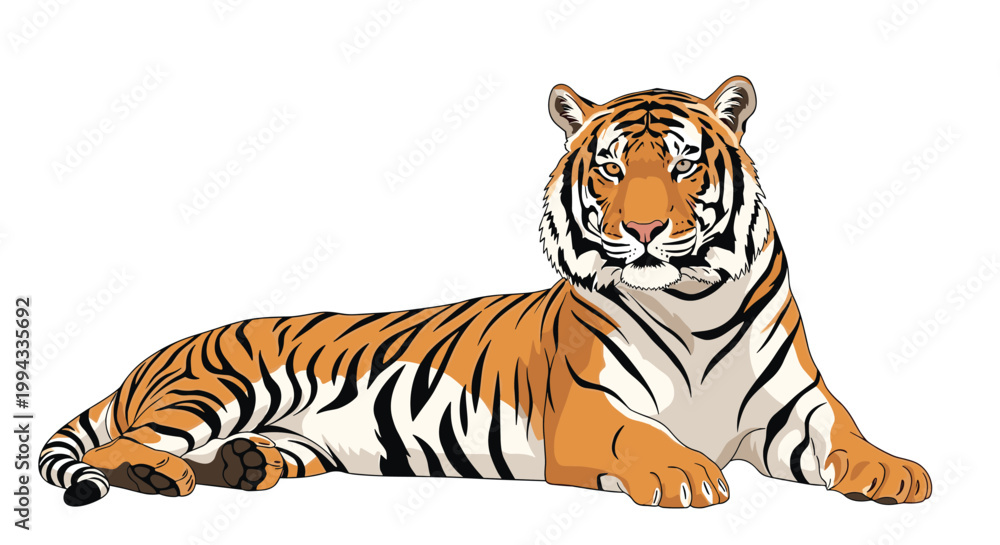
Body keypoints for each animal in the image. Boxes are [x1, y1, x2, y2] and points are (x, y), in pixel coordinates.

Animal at [41, 76, 931, 509]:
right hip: (213, 390)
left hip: (290, 438)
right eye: (611, 167)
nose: (644, 229)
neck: (692, 304)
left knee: (240, 454)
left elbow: (847, 432)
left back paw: (243, 463)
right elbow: (643, 437)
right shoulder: (589, 411)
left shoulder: (795, 408)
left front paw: (896, 471)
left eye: (681, 164)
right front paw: (686, 473)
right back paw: (163, 476)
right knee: (126, 447)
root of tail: (146, 359)